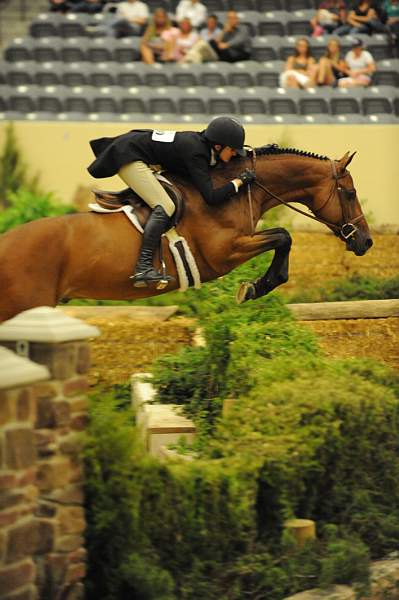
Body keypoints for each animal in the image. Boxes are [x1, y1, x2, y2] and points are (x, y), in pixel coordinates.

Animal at [0, 146, 372, 324]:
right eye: (351, 193)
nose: (366, 241)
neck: (230, 192)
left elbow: (282, 237)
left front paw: (256, 287)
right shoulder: (224, 254)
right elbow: (283, 236)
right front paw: (255, 288)